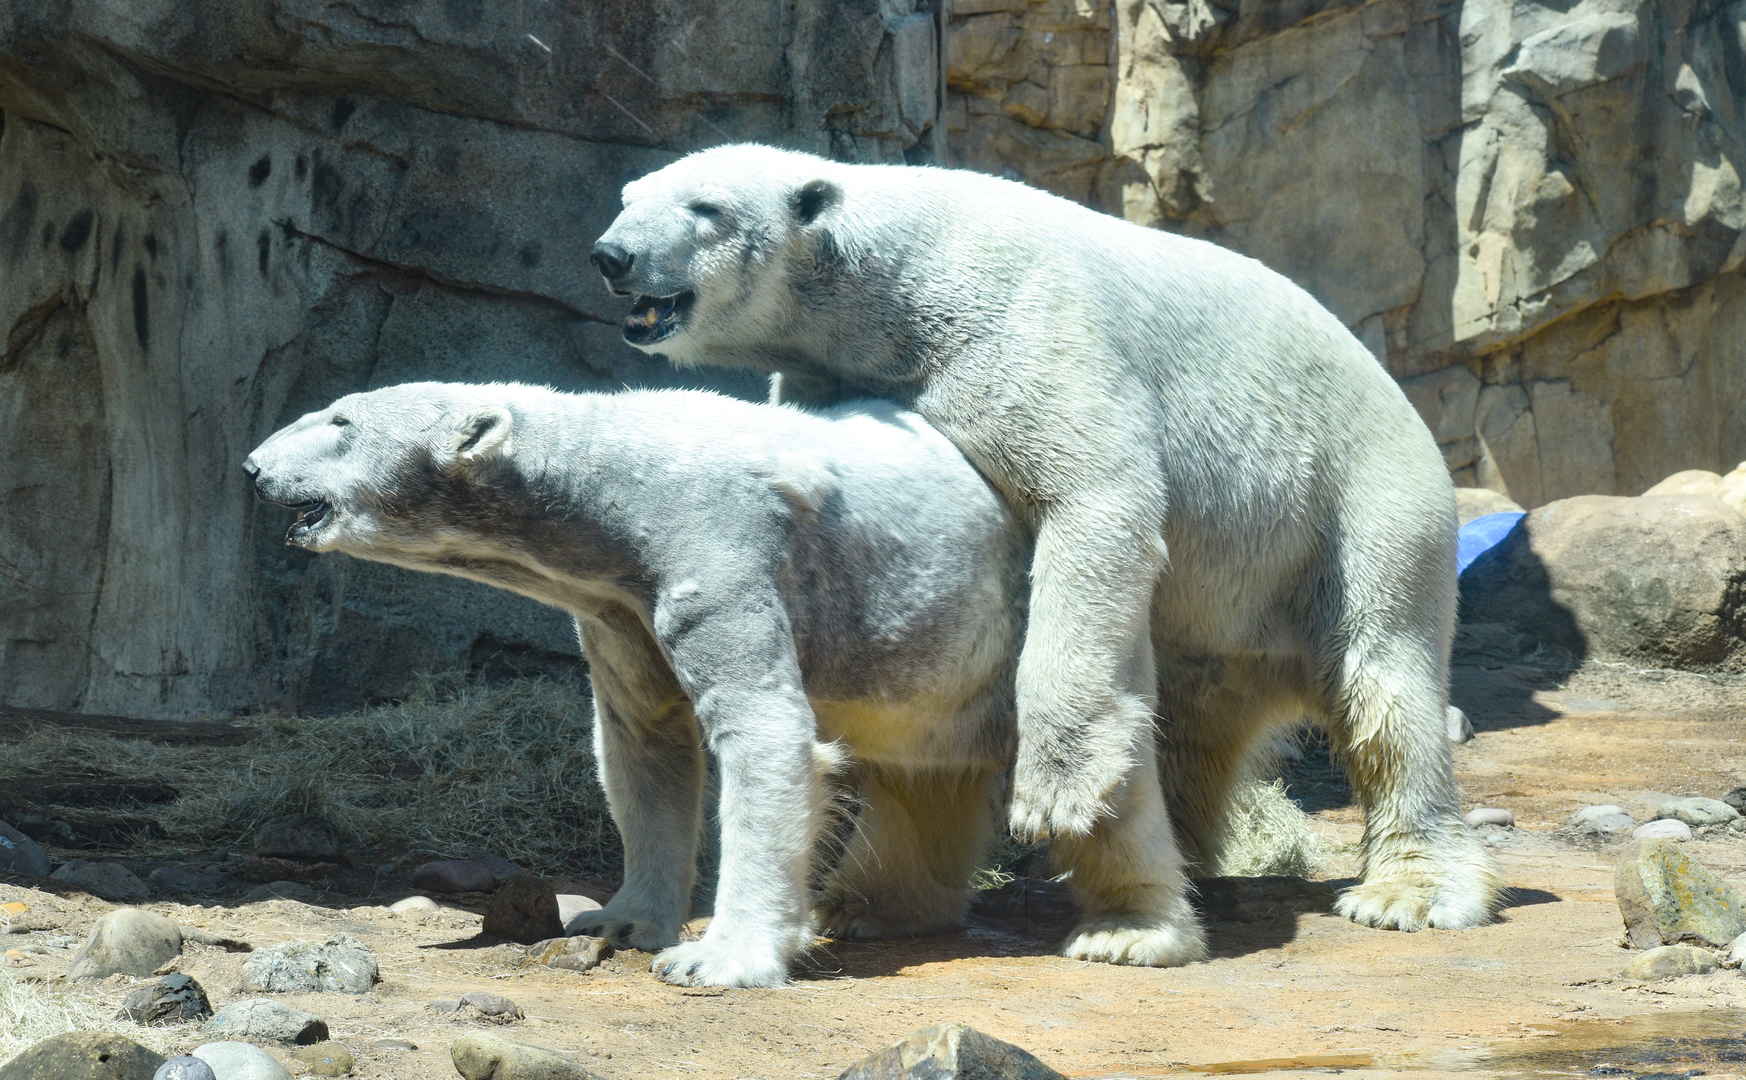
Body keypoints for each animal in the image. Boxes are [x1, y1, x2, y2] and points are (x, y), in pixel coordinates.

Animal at [244, 381, 1210, 986]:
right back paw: (870, 910)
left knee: (1108, 767)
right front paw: (616, 919)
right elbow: (642, 745)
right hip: (925, 660)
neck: (612, 492)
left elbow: (765, 734)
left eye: (338, 420)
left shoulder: (713, 547)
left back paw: (1130, 933)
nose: (252, 464)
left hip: (1034, 628)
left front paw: (716, 959)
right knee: (912, 772)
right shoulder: (618, 605)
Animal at [590, 144, 1501, 948]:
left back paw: (1408, 891)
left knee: (1384, 683)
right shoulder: (839, 376)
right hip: (1226, 613)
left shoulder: (1023, 333)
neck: (900, 283)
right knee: (1190, 719)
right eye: (630, 195)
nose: (612, 256)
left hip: (1356, 501)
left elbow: (1094, 498)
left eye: (704, 207)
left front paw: (1053, 796)